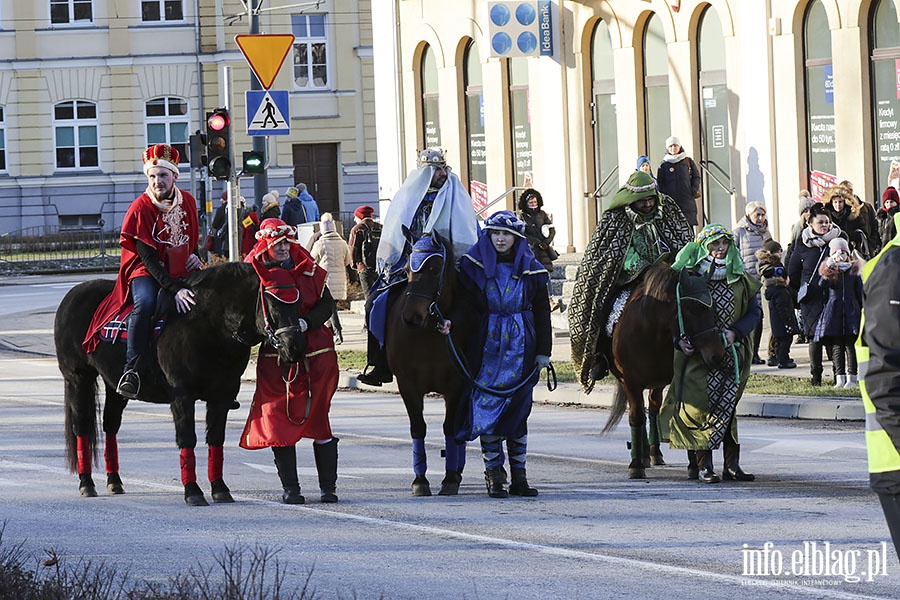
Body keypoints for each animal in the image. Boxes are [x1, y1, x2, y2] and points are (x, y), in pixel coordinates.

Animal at [54, 262, 304, 506]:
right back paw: (87, 483)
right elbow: (187, 438)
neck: (210, 324)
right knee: (81, 427)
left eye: (298, 302)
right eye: (272, 303)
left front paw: (219, 488)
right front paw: (193, 491)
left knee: (111, 425)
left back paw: (114, 480)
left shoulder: (221, 397)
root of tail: (73, 294)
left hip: (113, 385)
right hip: (78, 378)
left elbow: (216, 439)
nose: (294, 348)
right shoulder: (182, 397)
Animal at [384, 232, 474, 494]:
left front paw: (450, 478)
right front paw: (420, 480)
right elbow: (418, 427)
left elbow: (450, 427)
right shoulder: (407, 384)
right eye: (407, 269)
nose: (410, 317)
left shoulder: (457, 385)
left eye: (434, 269)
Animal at [600, 262, 728, 478]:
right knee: (641, 412)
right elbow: (636, 417)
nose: (717, 355)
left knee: (652, 408)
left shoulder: (676, 378)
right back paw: (642, 455)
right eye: (692, 308)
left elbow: (679, 416)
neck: (651, 331)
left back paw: (653, 452)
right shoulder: (631, 382)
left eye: (713, 309)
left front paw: (693, 465)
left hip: (657, 384)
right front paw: (636, 466)